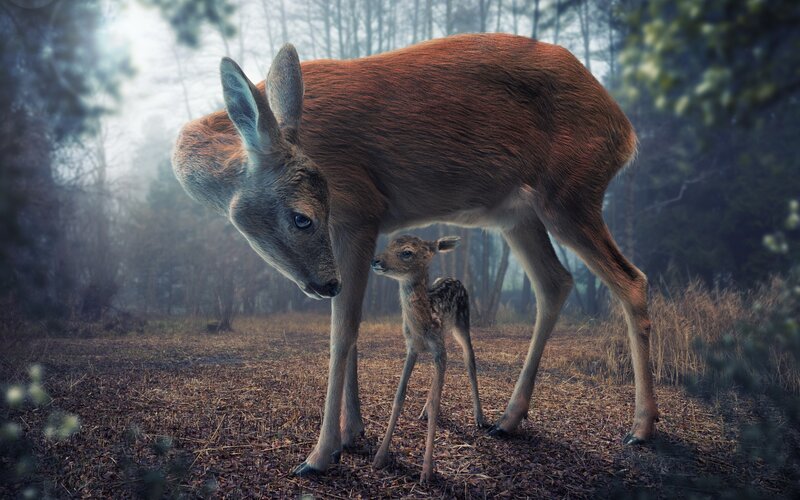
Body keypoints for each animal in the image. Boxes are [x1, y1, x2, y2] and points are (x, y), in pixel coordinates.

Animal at [370, 234, 485, 482]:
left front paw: (427, 471)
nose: (375, 261)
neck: (422, 325)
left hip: (463, 323)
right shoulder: (412, 348)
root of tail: (455, 278)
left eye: (407, 252)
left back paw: (480, 417)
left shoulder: (438, 349)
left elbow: (436, 402)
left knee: (469, 361)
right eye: (389, 243)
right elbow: (399, 396)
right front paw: (379, 457)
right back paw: (423, 411)